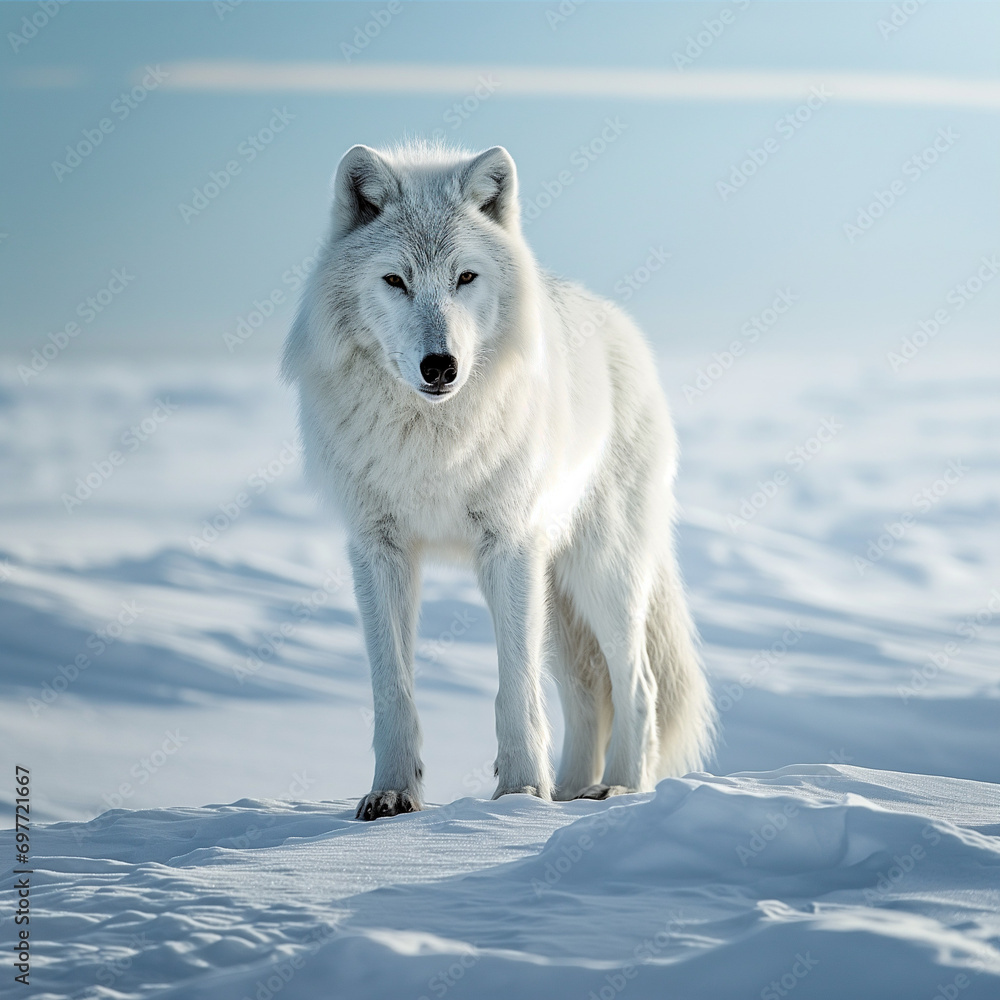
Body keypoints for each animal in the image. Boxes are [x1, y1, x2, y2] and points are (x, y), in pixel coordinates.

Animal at [282, 141, 715, 820]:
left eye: (465, 277)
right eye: (395, 280)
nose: (440, 365)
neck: (433, 444)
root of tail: (622, 329)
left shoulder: (507, 547)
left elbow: (515, 688)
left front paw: (519, 793)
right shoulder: (378, 551)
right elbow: (392, 689)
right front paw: (392, 794)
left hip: (601, 573)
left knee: (638, 684)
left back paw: (615, 791)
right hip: (557, 599)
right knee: (587, 694)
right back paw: (570, 790)